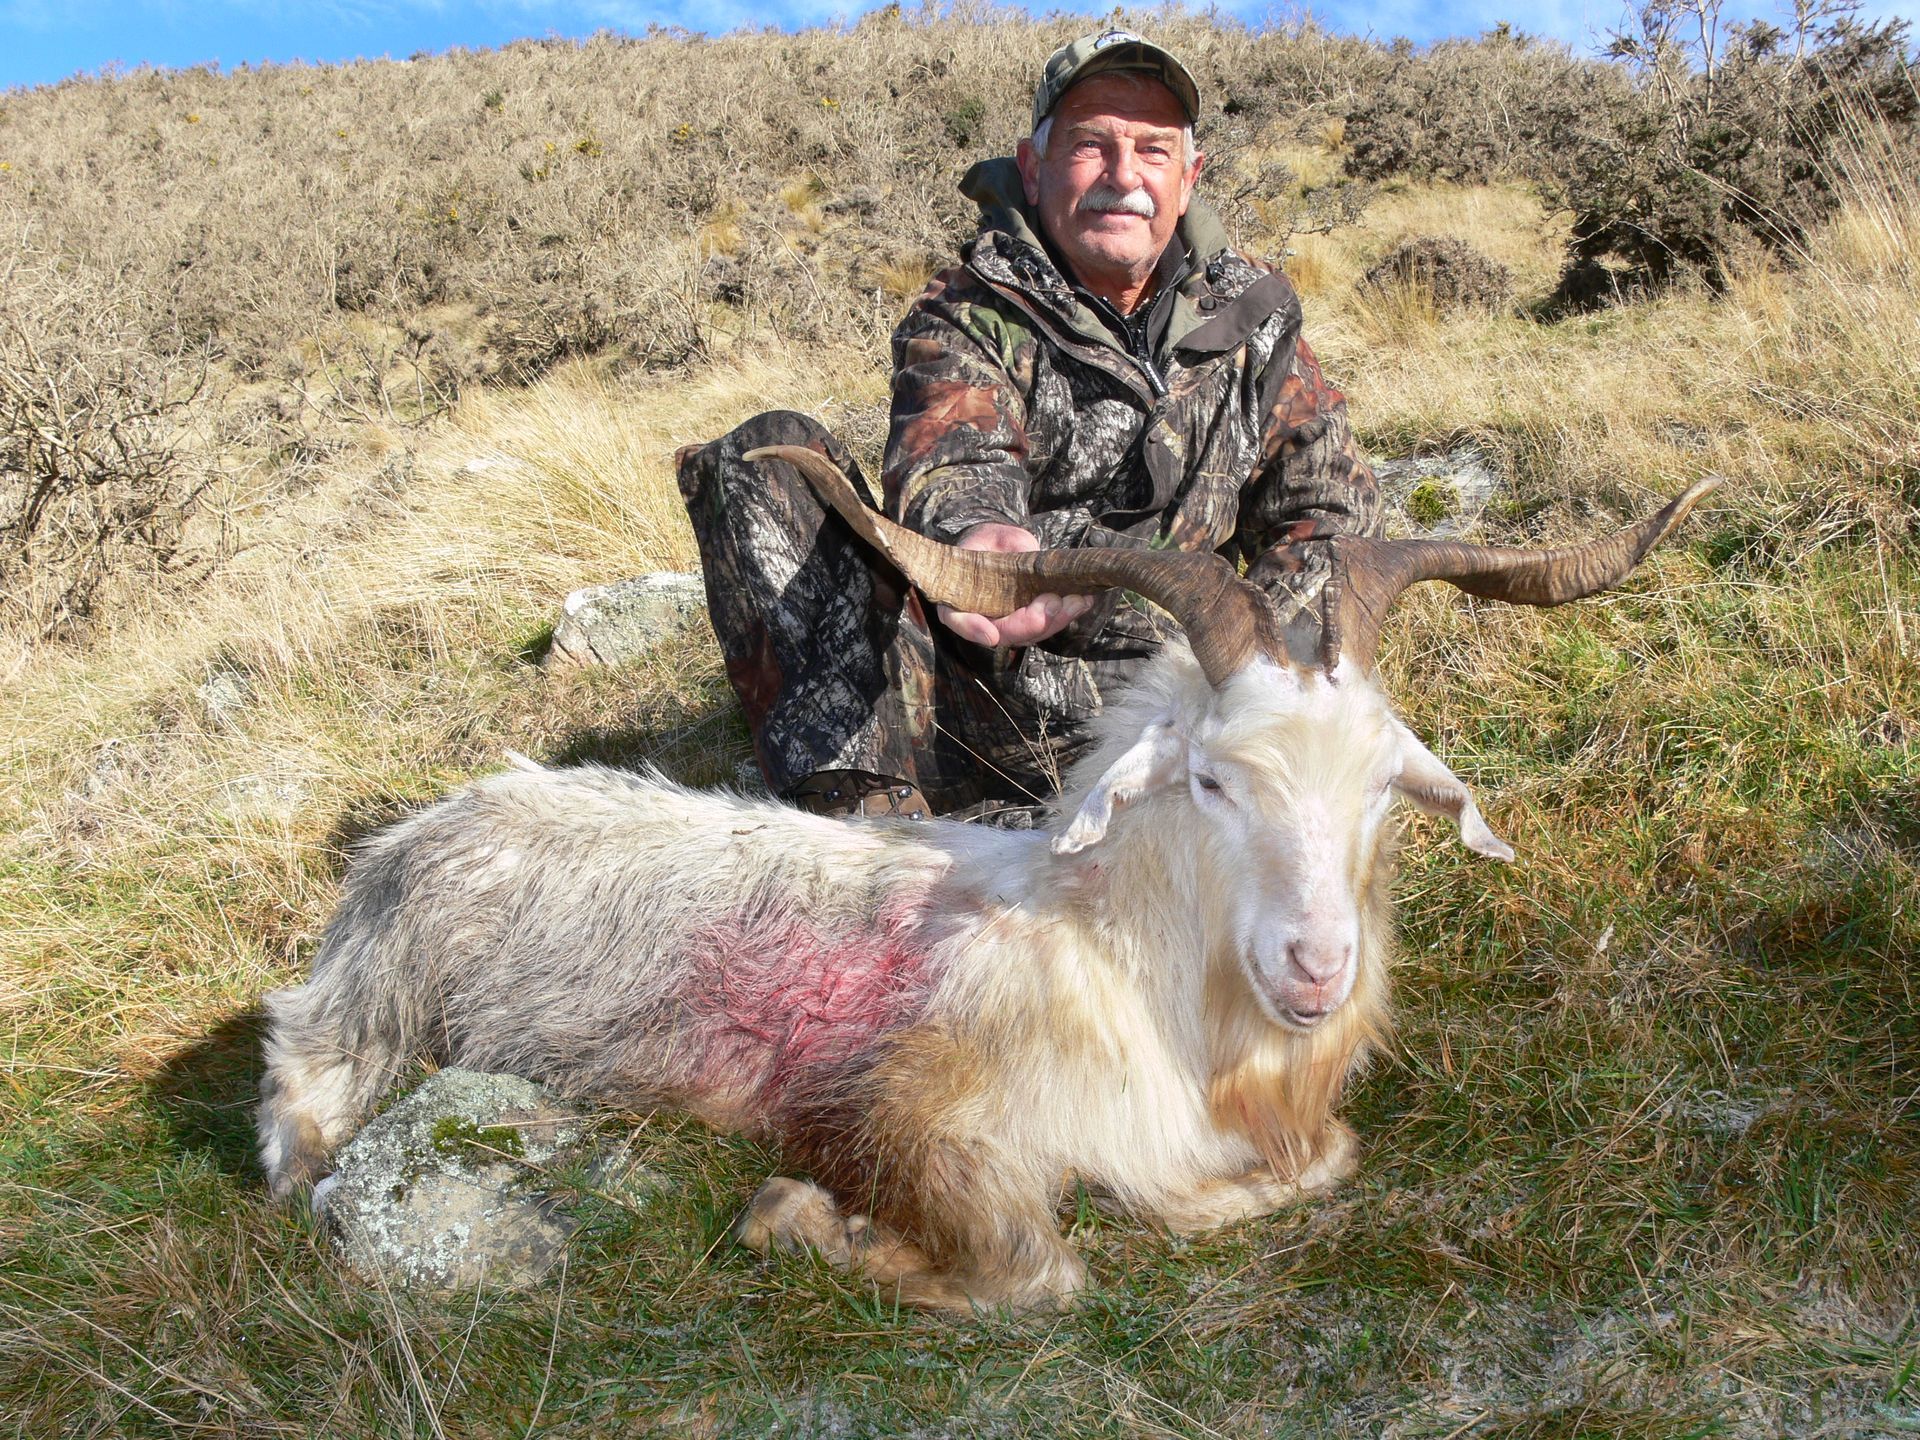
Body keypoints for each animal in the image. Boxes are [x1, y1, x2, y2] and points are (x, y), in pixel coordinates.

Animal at [259, 447, 1714, 1310]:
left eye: (1378, 788)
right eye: (1213, 780)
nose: (1316, 968)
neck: (1118, 966)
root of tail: (413, 835)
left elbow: (1316, 1163)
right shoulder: (908, 1112)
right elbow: (1036, 1271)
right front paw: (810, 1224)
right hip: (367, 1016)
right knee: (296, 1085)